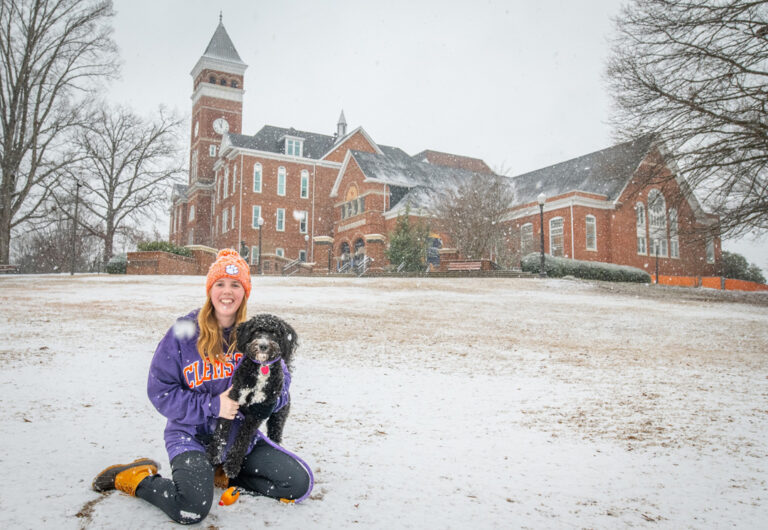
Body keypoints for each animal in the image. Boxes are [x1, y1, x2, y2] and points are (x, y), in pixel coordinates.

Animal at [208, 312, 298, 476]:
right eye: (256, 331)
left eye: (275, 333)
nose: (263, 345)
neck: (261, 367)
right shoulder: (233, 399)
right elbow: (222, 429)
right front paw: (214, 454)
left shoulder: (258, 412)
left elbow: (243, 439)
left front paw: (232, 466)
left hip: (278, 418)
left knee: (275, 434)